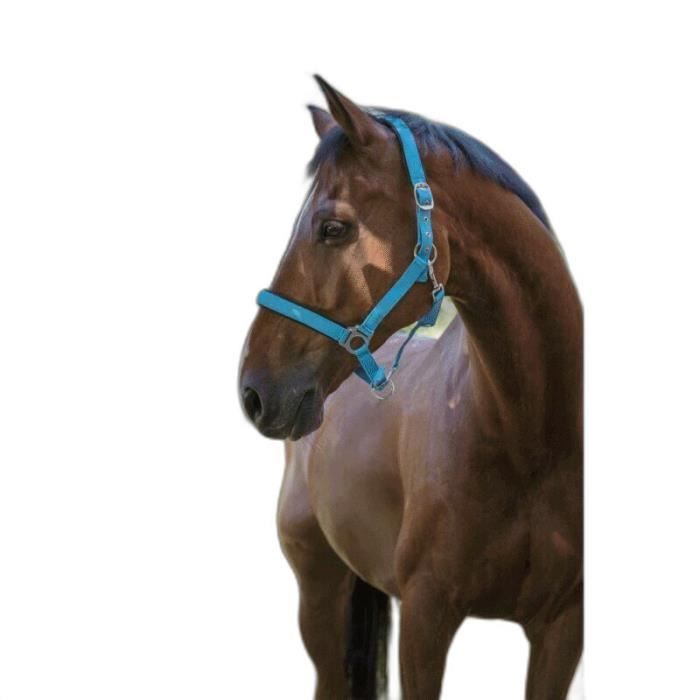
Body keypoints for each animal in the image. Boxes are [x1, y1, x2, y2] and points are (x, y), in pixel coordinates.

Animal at [238, 76, 582, 700]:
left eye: (333, 227)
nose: (253, 390)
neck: (531, 441)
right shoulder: (426, 618)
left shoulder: (563, 628)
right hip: (318, 592)